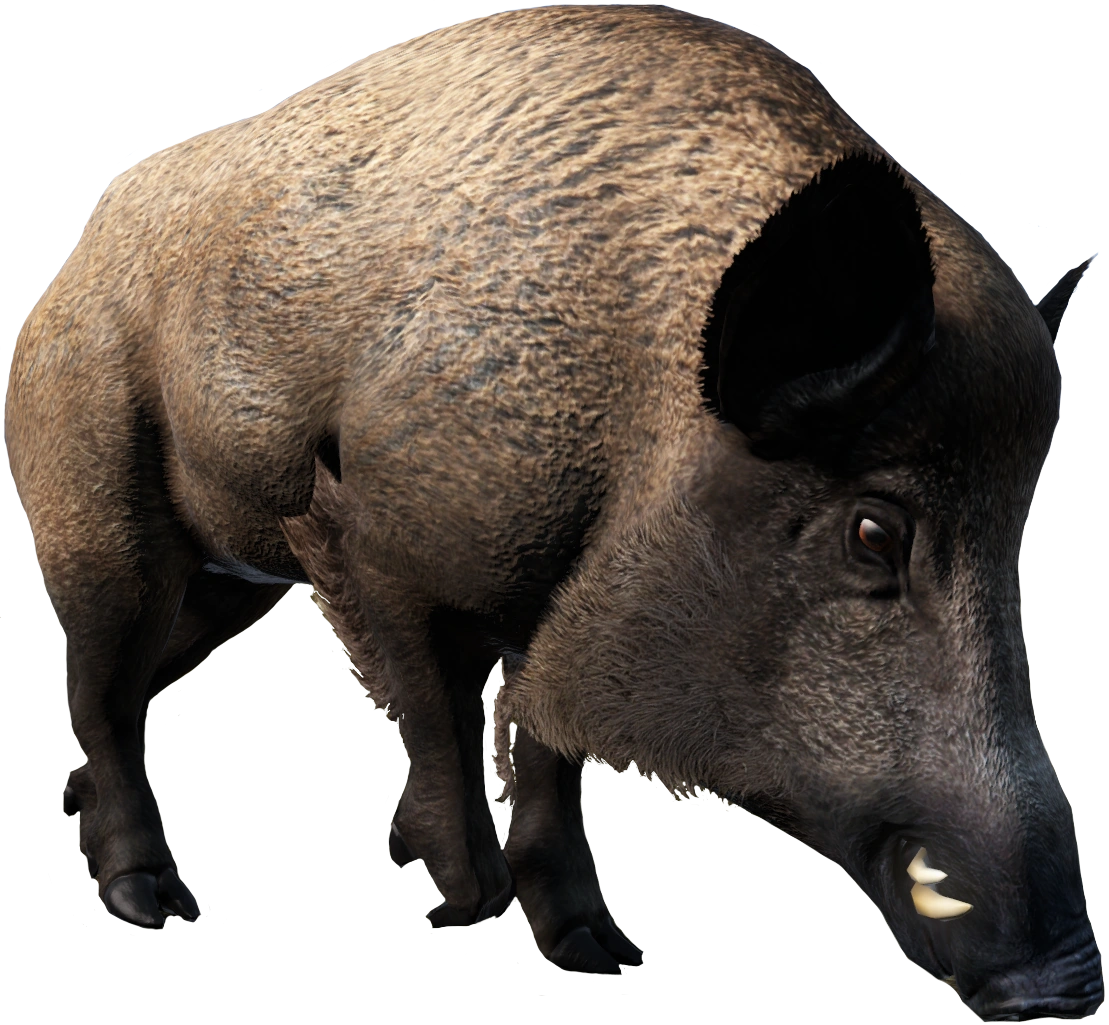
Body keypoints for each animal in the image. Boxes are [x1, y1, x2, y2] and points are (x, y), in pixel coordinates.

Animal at [3, 5, 1101, 1021]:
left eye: (1018, 524)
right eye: (872, 530)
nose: (1067, 982)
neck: (632, 412)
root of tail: (65, 271)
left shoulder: (542, 605)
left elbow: (537, 746)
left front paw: (601, 951)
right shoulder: (355, 534)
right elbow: (443, 717)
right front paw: (471, 903)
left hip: (228, 581)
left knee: (137, 673)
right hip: (94, 499)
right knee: (103, 682)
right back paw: (158, 904)